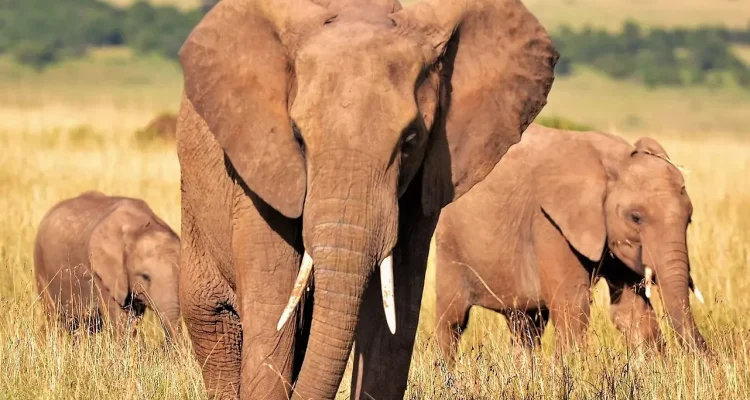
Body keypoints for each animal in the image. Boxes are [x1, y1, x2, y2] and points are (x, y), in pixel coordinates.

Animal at [176, 0, 560, 396]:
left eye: (410, 141)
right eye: (297, 137)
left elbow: (395, 315)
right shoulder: (261, 171)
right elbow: (273, 313)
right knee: (213, 320)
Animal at [434, 123, 712, 360]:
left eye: (689, 219)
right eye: (636, 217)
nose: (708, 356)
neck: (614, 161)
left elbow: (631, 312)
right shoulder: (549, 222)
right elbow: (573, 308)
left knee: (526, 326)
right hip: (450, 243)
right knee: (453, 321)